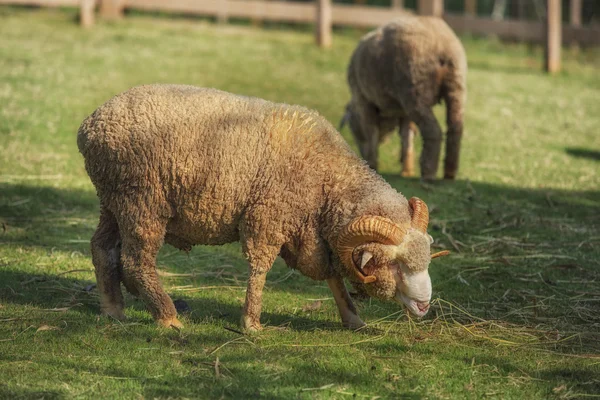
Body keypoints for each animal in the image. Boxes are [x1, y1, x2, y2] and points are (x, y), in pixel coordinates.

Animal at [77, 84, 448, 332]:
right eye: (394, 263)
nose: (424, 305)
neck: (329, 179)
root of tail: (90, 126)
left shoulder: (315, 233)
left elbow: (331, 275)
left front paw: (353, 318)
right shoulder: (267, 218)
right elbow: (260, 269)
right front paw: (251, 323)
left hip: (114, 201)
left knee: (101, 248)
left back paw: (113, 309)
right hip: (142, 202)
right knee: (136, 260)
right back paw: (167, 317)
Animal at [340, 15, 466, 181]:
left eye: (352, 128)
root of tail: (441, 45)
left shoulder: (364, 100)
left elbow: (371, 132)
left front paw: (372, 164)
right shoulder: (404, 112)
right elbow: (407, 137)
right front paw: (407, 170)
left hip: (415, 89)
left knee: (433, 132)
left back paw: (428, 173)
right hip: (456, 86)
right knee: (455, 129)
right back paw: (449, 173)